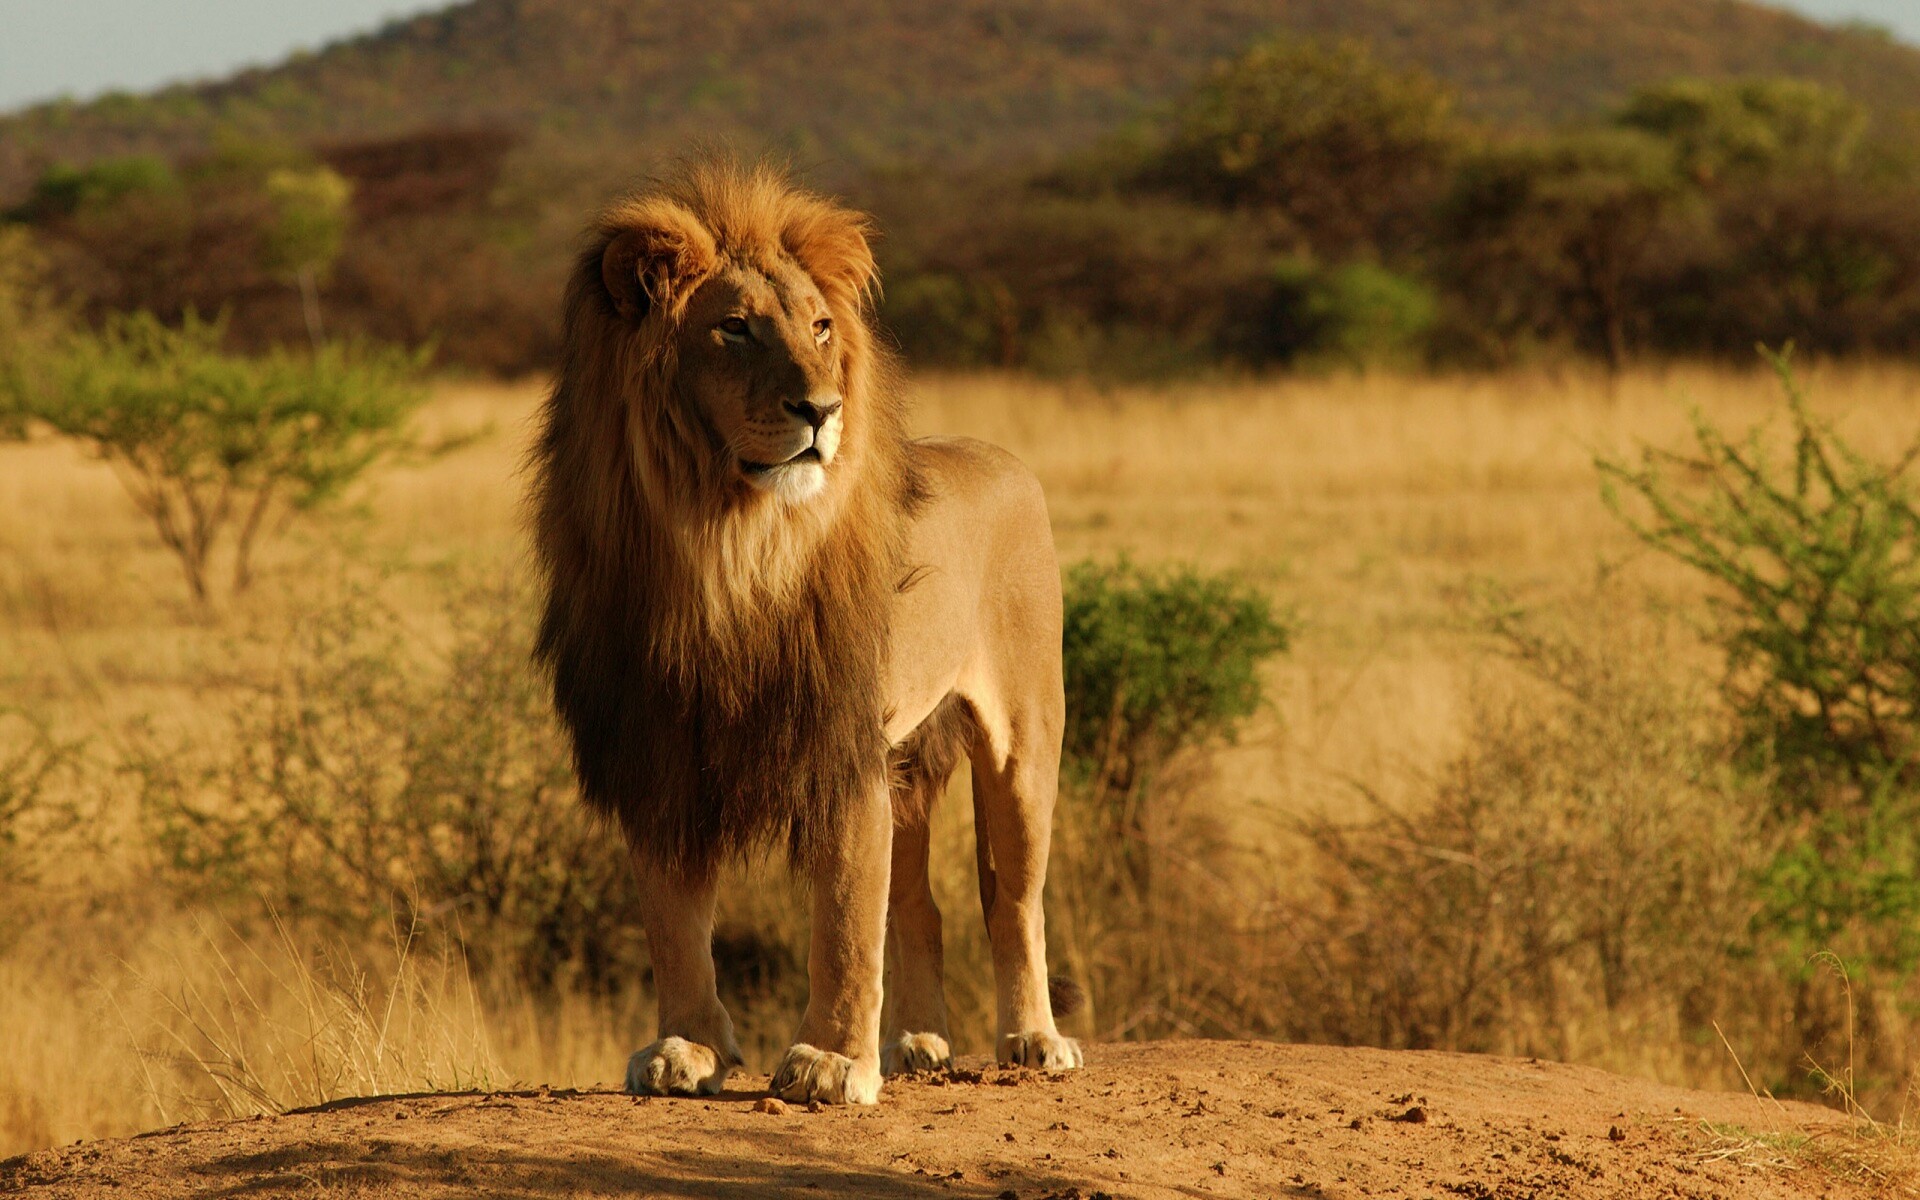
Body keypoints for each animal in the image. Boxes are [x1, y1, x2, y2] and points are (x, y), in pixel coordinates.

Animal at [533, 159, 1090, 1105]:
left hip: (1022, 742)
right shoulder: (659, 749)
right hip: (908, 763)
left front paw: (830, 1062)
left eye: (821, 327)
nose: (822, 409)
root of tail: (1003, 457)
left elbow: (843, 917)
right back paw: (916, 1043)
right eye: (733, 329)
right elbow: (674, 920)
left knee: (1012, 899)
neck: (725, 547)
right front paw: (687, 1048)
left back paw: (1034, 1039)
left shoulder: (839, 746)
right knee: (921, 906)